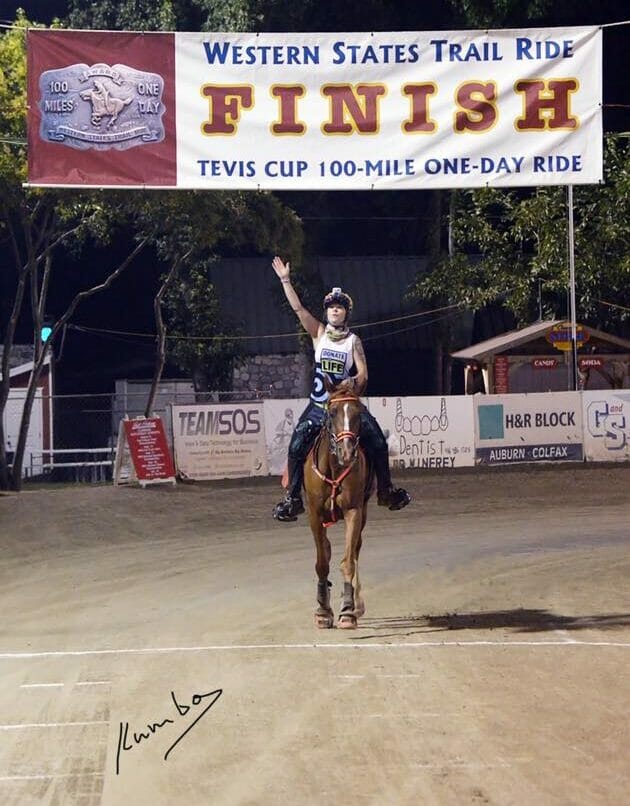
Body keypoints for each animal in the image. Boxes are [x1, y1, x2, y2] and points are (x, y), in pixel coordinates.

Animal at [304, 382, 372, 628]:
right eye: (332, 412)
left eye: (359, 412)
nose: (347, 452)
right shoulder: (314, 515)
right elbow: (322, 563)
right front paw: (323, 611)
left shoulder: (354, 511)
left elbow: (348, 561)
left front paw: (348, 611)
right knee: (326, 548)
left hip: (364, 512)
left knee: (356, 549)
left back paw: (357, 605)